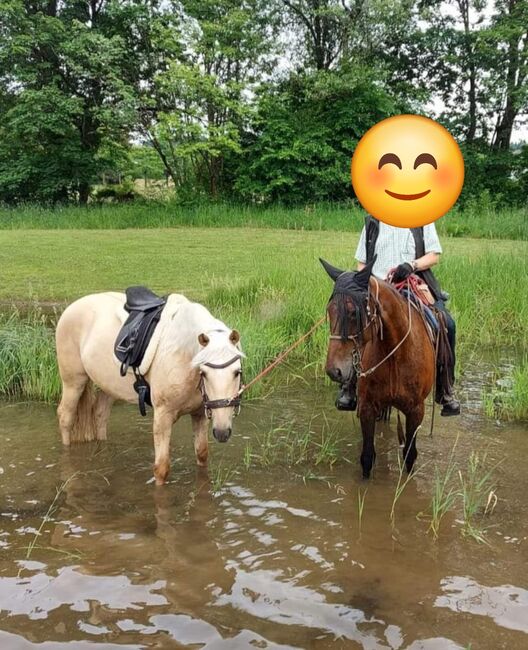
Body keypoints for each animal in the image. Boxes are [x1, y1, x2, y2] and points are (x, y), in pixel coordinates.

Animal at [53, 292, 243, 484]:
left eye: (237, 372)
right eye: (204, 372)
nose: (222, 432)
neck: (183, 354)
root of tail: (73, 306)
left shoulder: (199, 414)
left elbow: (202, 455)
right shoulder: (163, 416)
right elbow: (161, 468)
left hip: (107, 386)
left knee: (100, 415)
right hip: (73, 382)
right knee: (66, 417)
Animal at [320, 256, 436, 476]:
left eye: (352, 313)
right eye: (330, 311)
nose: (333, 371)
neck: (396, 355)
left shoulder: (416, 411)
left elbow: (410, 456)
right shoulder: (367, 407)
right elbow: (367, 457)